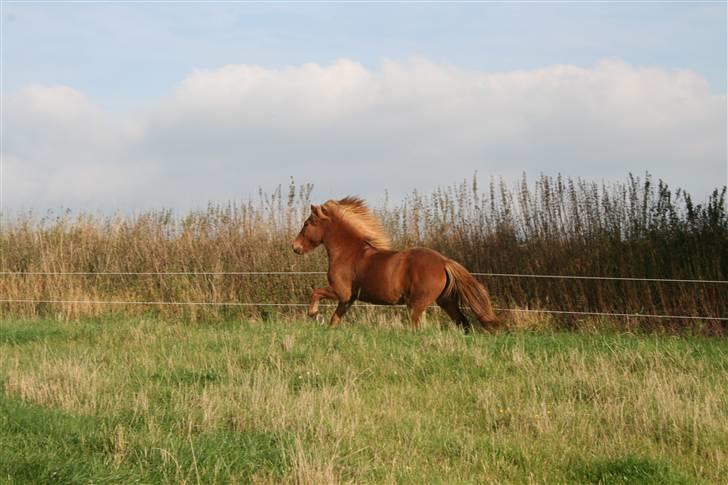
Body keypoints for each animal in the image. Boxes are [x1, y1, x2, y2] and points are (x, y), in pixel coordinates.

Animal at [292, 196, 500, 328]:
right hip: (446, 301)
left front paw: (313, 314)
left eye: (306, 224)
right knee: (463, 323)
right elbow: (334, 321)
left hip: (417, 305)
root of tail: (444, 262)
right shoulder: (347, 299)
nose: (295, 247)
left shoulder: (341, 292)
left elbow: (316, 292)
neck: (348, 253)